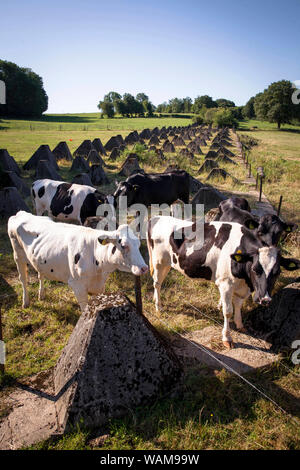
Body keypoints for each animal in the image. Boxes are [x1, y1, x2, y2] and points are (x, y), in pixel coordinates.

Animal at [7, 213, 148, 312]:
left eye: (138, 244)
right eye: (123, 245)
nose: (144, 268)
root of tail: (21, 214)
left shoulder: (100, 287)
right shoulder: (77, 285)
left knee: (40, 274)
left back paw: (41, 295)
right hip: (17, 255)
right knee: (23, 279)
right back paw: (25, 302)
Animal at [146, 217, 298, 348]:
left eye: (277, 272)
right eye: (255, 269)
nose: (265, 299)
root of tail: (157, 217)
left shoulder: (243, 287)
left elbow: (238, 305)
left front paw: (240, 325)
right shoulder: (226, 284)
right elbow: (228, 311)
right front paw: (227, 338)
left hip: (168, 263)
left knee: (157, 282)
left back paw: (154, 299)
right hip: (159, 262)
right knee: (157, 283)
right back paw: (158, 306)